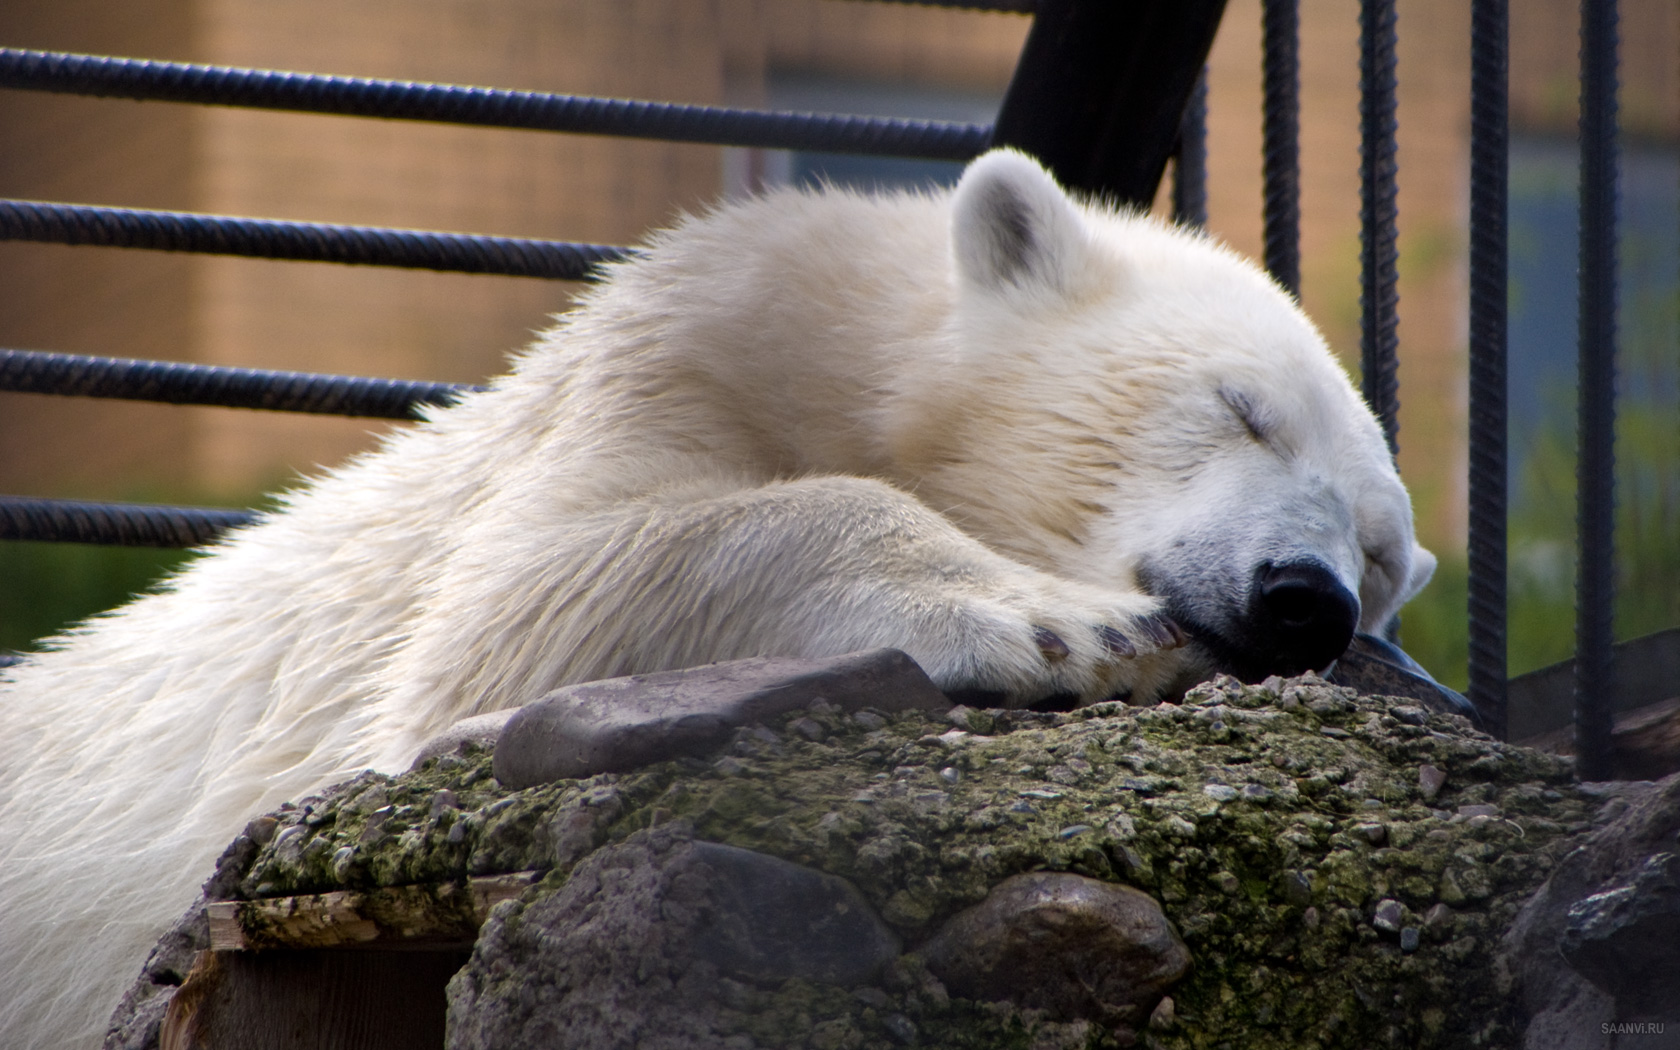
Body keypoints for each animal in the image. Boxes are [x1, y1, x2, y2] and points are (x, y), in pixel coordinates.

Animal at [0, 149, 1431, 1048]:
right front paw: (1084, 627)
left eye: (1378, 553)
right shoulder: (682, 349)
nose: (1304, 600)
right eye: (1240, 408)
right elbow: (524, 599)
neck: (860, 354)